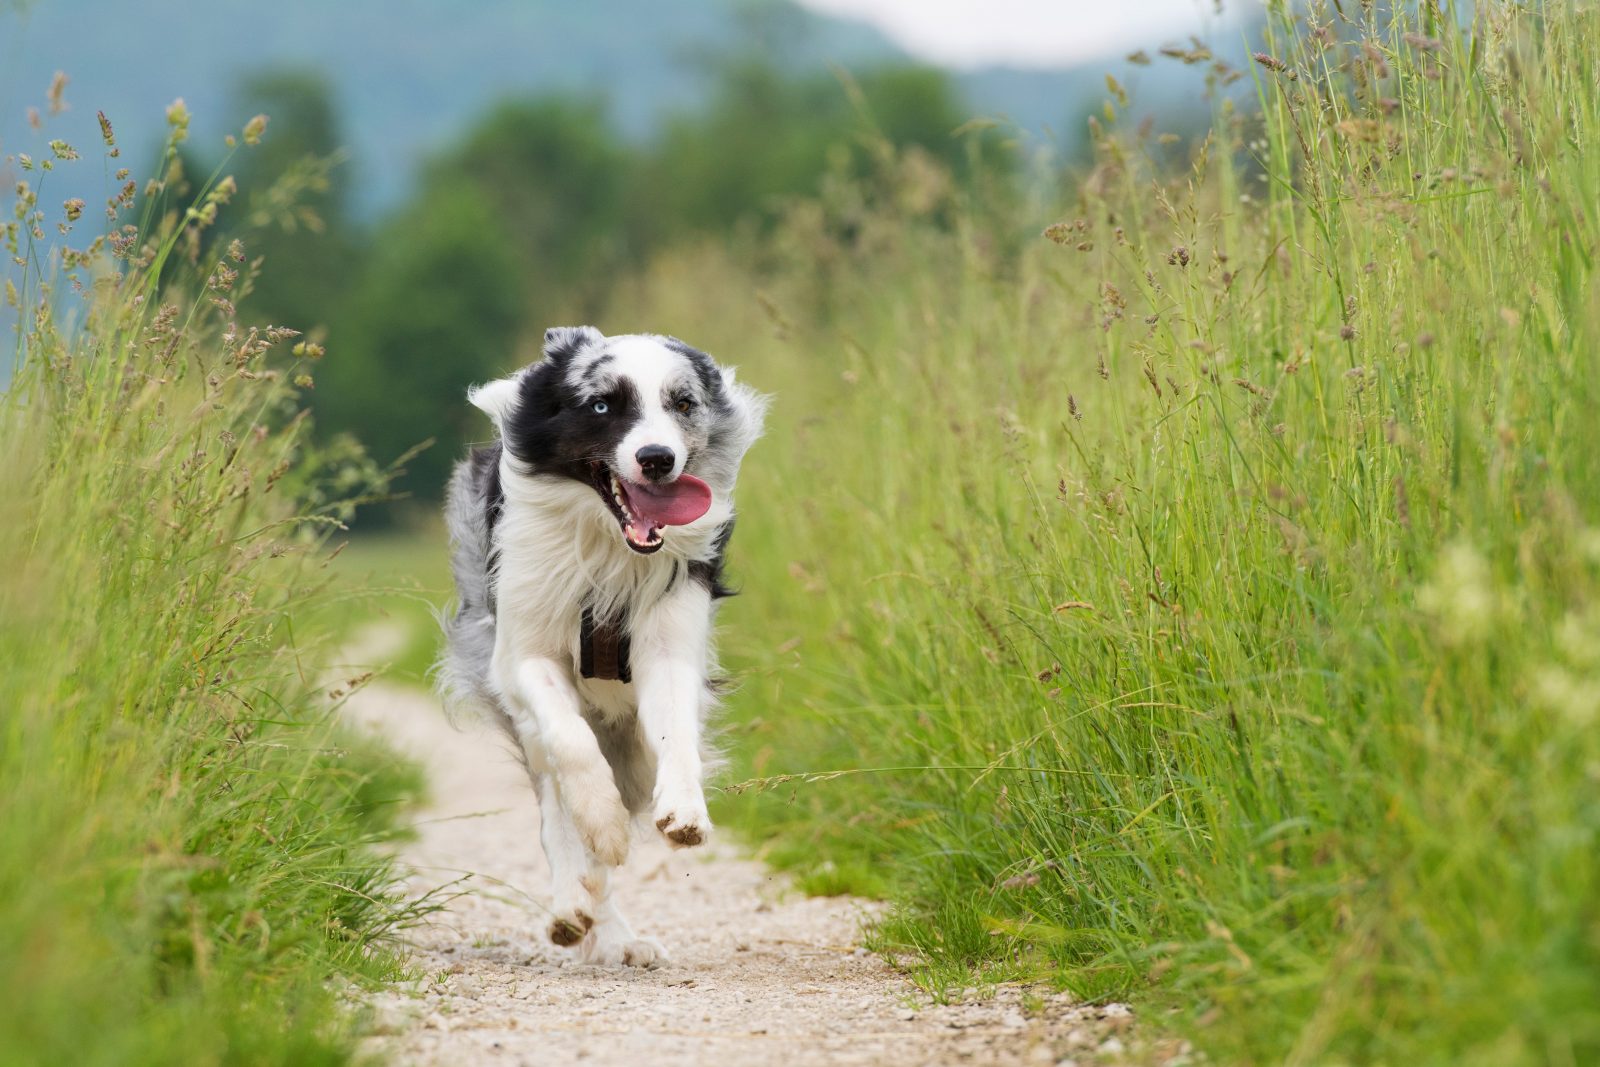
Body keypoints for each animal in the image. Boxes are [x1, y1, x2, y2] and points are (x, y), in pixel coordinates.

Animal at [435, 323, 764, 966]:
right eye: (603, 405)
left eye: (682, 403)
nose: (657, 459)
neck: (609, 547)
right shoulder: (521, 654)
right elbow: (571, 745)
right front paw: (603, 824)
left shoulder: (669, 641)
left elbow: (676, 732)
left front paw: (685, 810)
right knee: (555, 803)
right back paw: (575, 908)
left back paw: (613, 934)